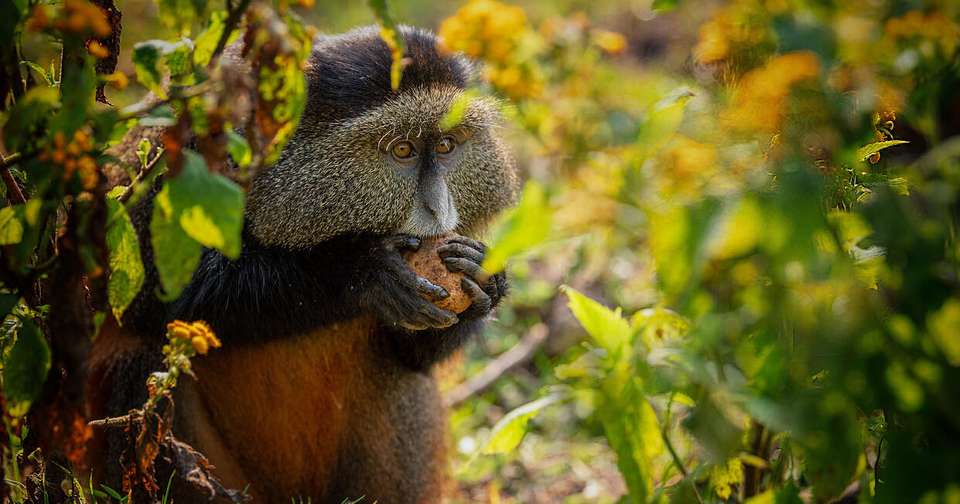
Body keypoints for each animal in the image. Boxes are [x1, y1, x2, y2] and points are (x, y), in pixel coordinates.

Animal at [86, 25, 519, 503]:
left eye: (445, 146)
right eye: (403, 150)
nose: (437, 207)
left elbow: (414, 359)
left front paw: (484, 284)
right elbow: (151, 292)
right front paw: (362, 272)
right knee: (141, 359)